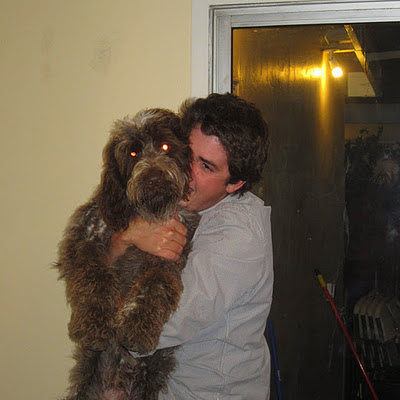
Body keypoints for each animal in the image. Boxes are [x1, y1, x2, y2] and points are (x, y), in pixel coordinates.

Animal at [56, 108, 199, 400]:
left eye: (165, 146)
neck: (145, 214)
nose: (153, 178)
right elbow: (96, 277)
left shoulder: (167, 257)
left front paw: (137, 328)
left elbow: (154, 287)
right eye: (132, 153)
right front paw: (95, 325)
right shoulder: (85, 240)